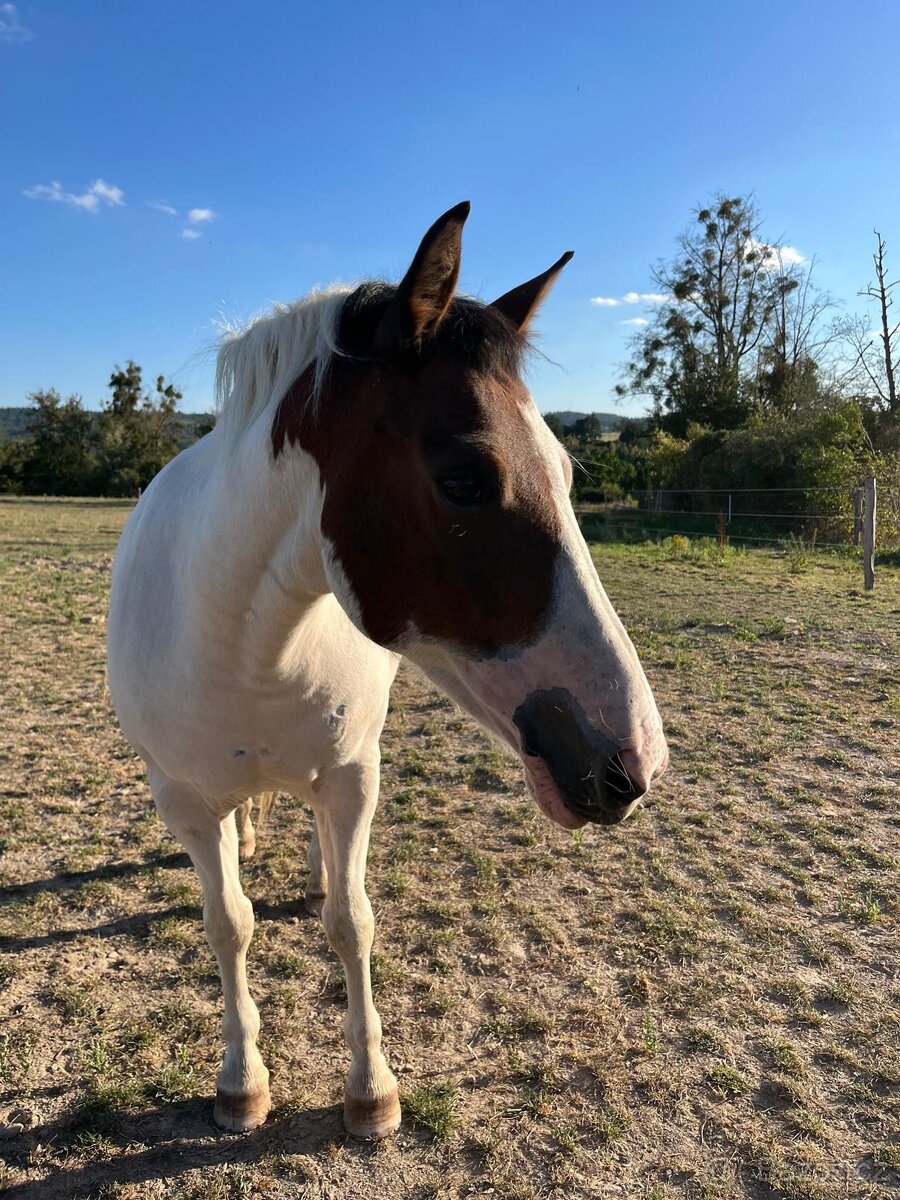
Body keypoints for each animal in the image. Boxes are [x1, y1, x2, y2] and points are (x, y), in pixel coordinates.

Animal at [106, 202, 668, 1140]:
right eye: (464, 479)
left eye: (565, 471)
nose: (632, 760)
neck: (249, 645)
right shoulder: (182, 799)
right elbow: (228, 926)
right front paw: (241, 1082)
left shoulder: (353, 777)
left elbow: (351, 922)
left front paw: (370, 1090)